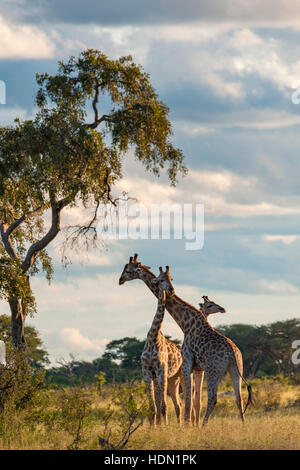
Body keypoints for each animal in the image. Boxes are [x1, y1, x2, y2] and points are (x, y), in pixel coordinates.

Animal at [119, 255, 253, 424]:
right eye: (163, 279)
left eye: (128, 270)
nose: (120, 280)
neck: (185, 323)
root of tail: (232, 353)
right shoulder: (196, 367)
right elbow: (192, 401)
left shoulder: (188, 363)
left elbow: (189, 402)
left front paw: (188, 425)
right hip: (236, 369)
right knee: (238, 398)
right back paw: (243, 424)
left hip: (213, 370)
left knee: (212, 398)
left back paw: (204, 425)